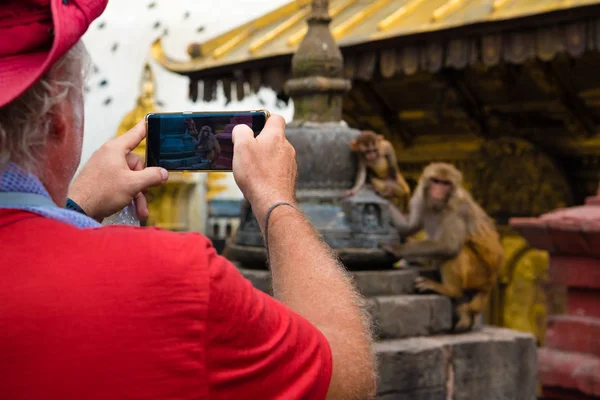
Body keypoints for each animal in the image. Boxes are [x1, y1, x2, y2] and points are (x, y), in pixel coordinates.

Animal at [382, 162, 504, 332]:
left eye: (446, 184)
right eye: (436, 181)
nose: (438, 191)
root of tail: (490, 282)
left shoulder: (457, 209)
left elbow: (448, 246)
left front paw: (398, 248)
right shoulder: (420, 200)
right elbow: (409, 227)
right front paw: (384, 198)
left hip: (479, 274)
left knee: (456, 252)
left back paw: (448, 290)